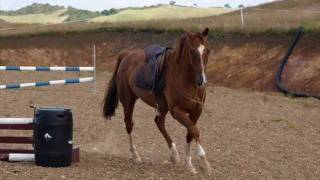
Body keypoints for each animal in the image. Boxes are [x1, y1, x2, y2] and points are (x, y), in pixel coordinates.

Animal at [104, 28, 211, 174]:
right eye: (191, 51)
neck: (186, 80)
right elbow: (194, 130)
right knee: (129, 124)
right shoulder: (176, 111)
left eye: (207, 50)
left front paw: (189, 164)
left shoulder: (196, 111)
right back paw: (135, 155)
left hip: (162, 106)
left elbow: (190, 132)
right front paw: (204, 163)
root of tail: (127, 55)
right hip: (128, 101)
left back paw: (173, 155)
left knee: (159, 122)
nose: (202, 80)